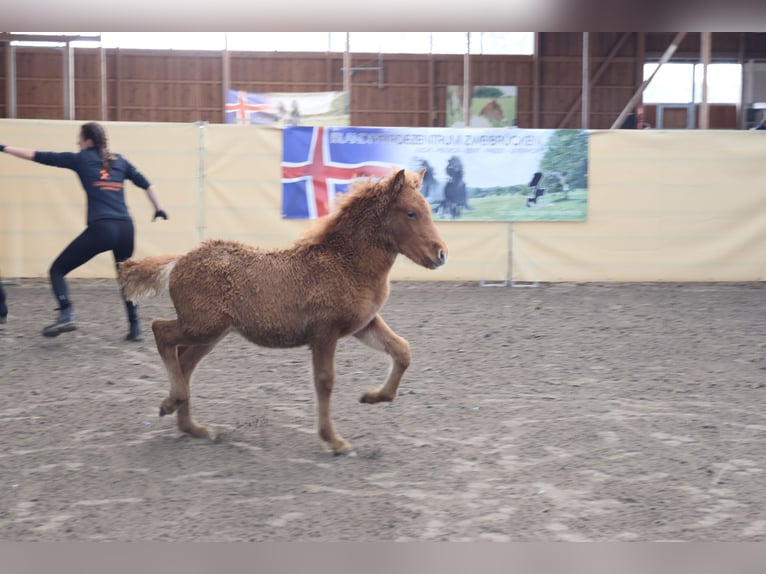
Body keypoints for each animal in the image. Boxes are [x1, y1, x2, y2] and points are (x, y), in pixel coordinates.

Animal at [120, 169, 450, 456]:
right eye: (411, 213)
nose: (442, 254)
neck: (347, 263)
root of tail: (179, 260)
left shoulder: (362, 325)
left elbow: (402, 350)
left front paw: (372, 397)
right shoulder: (325, 333)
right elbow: (325, 381)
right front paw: (334, 441)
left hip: (211, 334)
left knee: (185, 362)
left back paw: (192, 426)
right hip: (202, 326)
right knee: (161, 331)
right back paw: (171, 403)